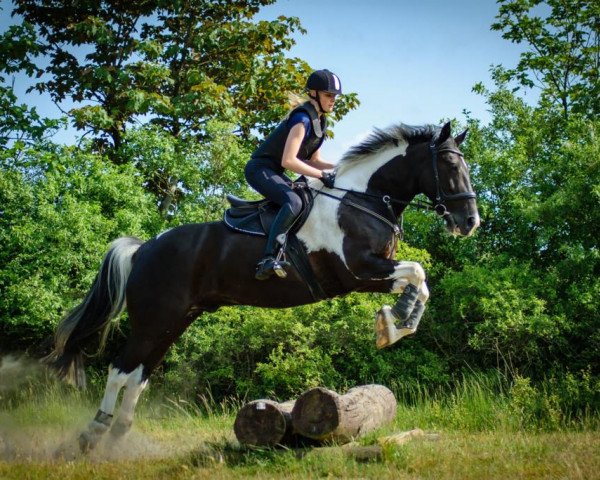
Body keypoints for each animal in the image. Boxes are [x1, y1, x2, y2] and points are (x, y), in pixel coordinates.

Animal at [43, 120, 478, 450]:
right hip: (152, 320)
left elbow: (420, 281)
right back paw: (92, 436)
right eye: (449, 165)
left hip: (173, 321)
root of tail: (144, 249)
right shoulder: (358, 272)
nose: (469, 222)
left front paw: (397, 322)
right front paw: (393, 323)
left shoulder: (372, 273)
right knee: (120, 371)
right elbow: (417, 272)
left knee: (139, 376)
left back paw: (118, 436)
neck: (361, 200)